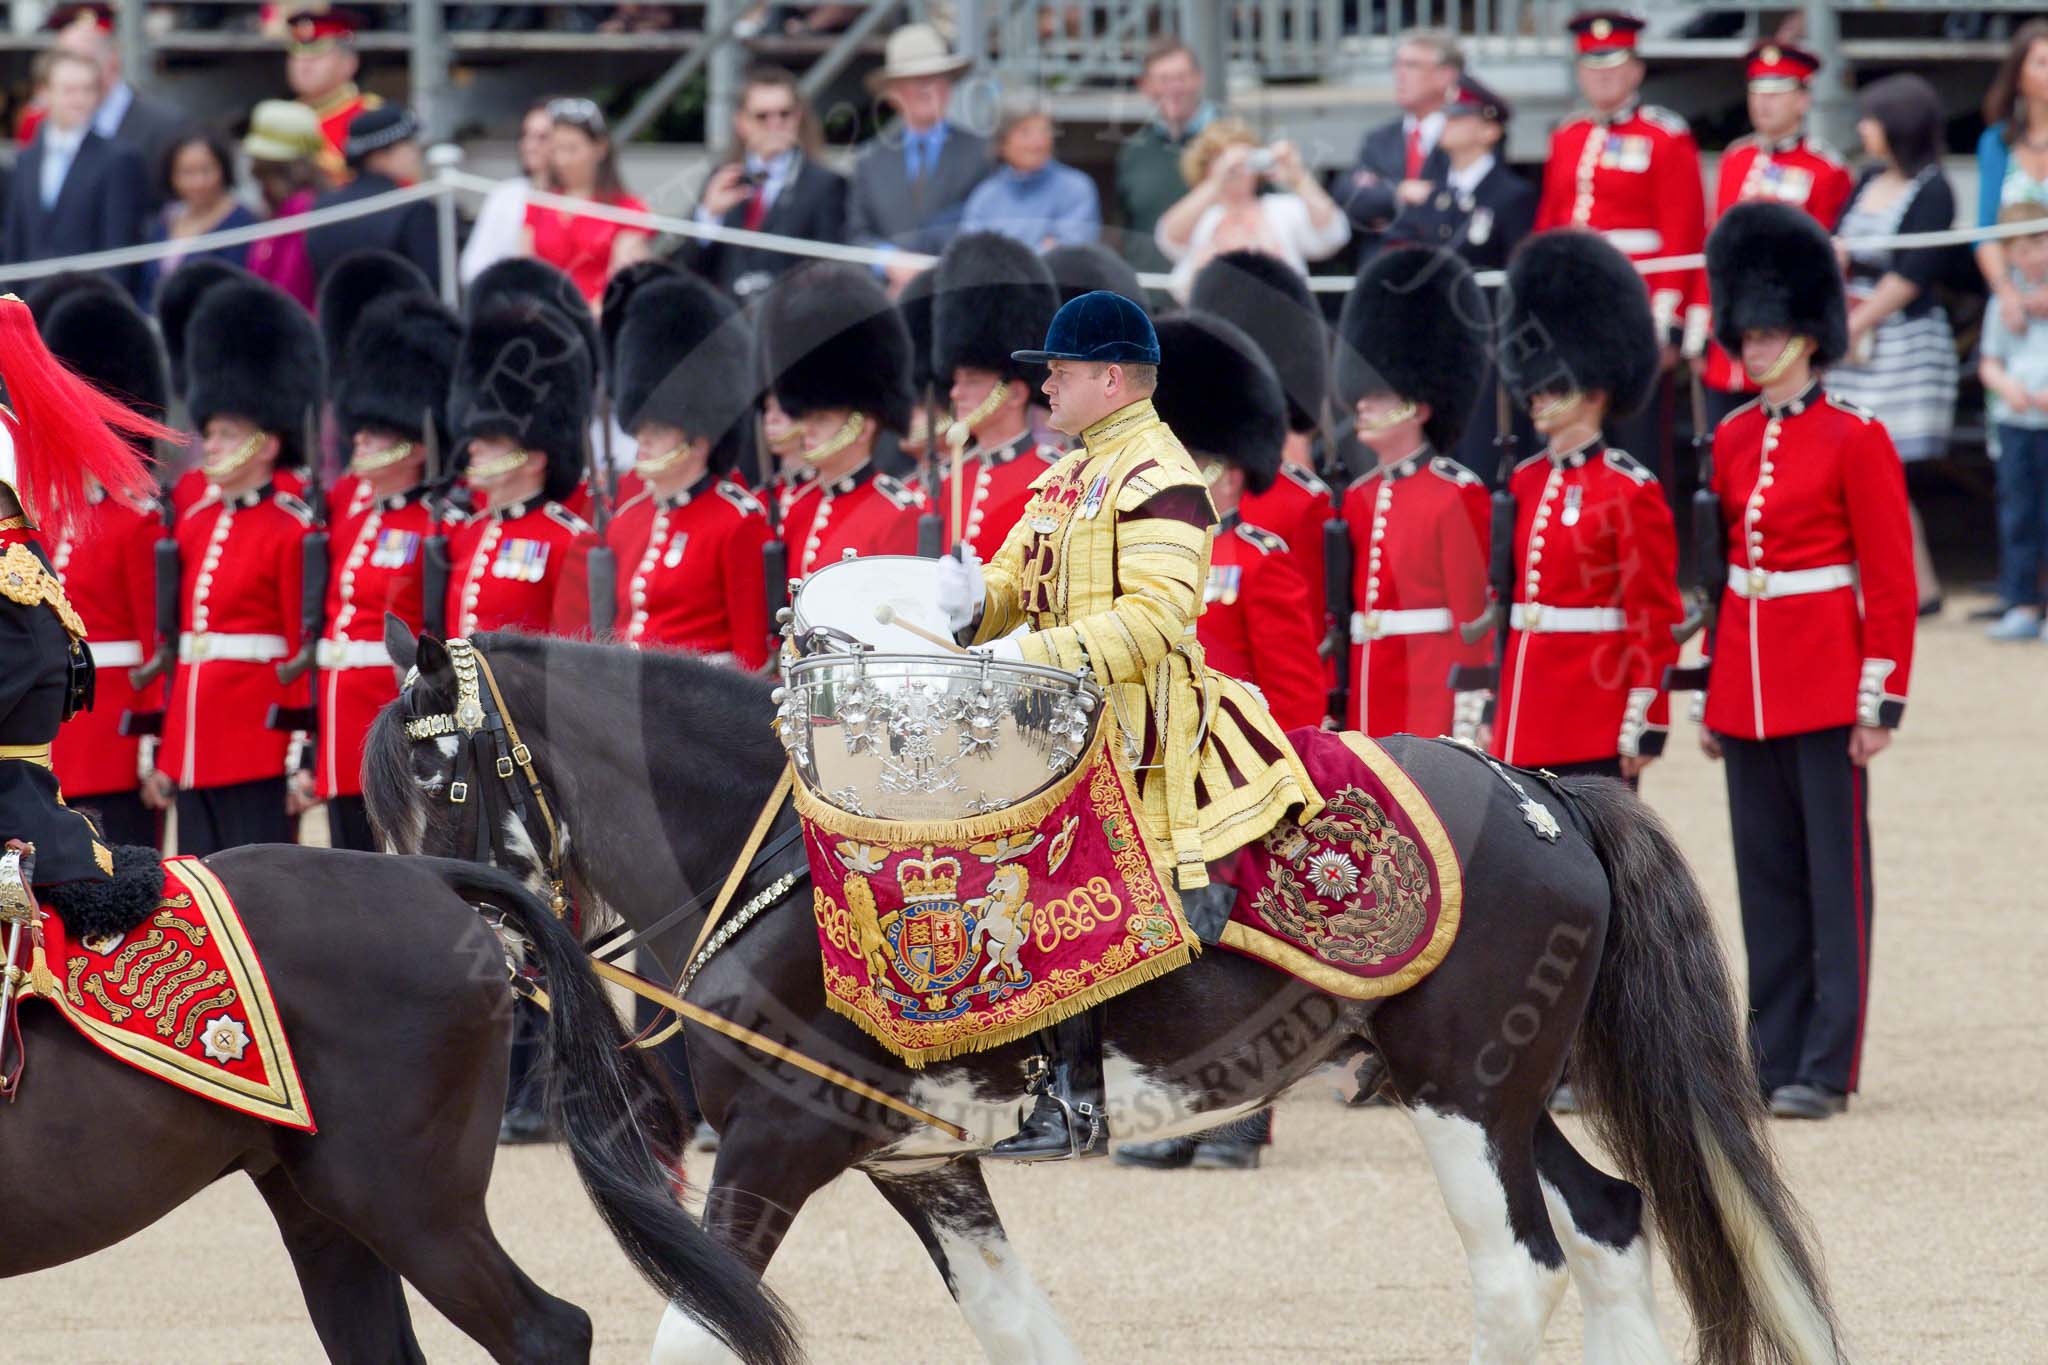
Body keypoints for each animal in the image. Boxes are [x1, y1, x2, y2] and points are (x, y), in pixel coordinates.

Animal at [364, 573, 1843, 1358]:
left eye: (444, 778)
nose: (441, 949)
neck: (774, 857)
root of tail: (1537, 787)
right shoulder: (924, 1161)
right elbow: (1020, 1331)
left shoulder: (777, 1149)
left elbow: (697, 1328)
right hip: (1507, 1091)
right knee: (1608, 1226)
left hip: (1463, 1094)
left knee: (1521, 1265)